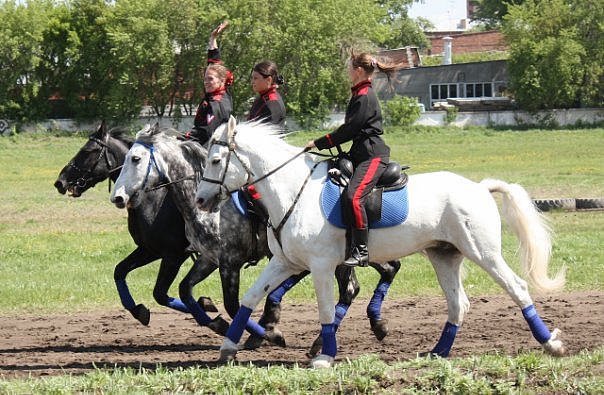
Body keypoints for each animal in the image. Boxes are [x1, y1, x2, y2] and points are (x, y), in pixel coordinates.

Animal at [197, 117, 568, 368]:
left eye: (215, 161)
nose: (200, 200)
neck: (291, 192)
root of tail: (478, 187)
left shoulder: (321, 266)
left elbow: (326, 309)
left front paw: (324, 357)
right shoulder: (285, 262)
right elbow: (249, 299)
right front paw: (228, 347)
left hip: (483, 252)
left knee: (516, 288)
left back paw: (551, 344)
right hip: (444, 256)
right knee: (458, 304)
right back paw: (438, 352)